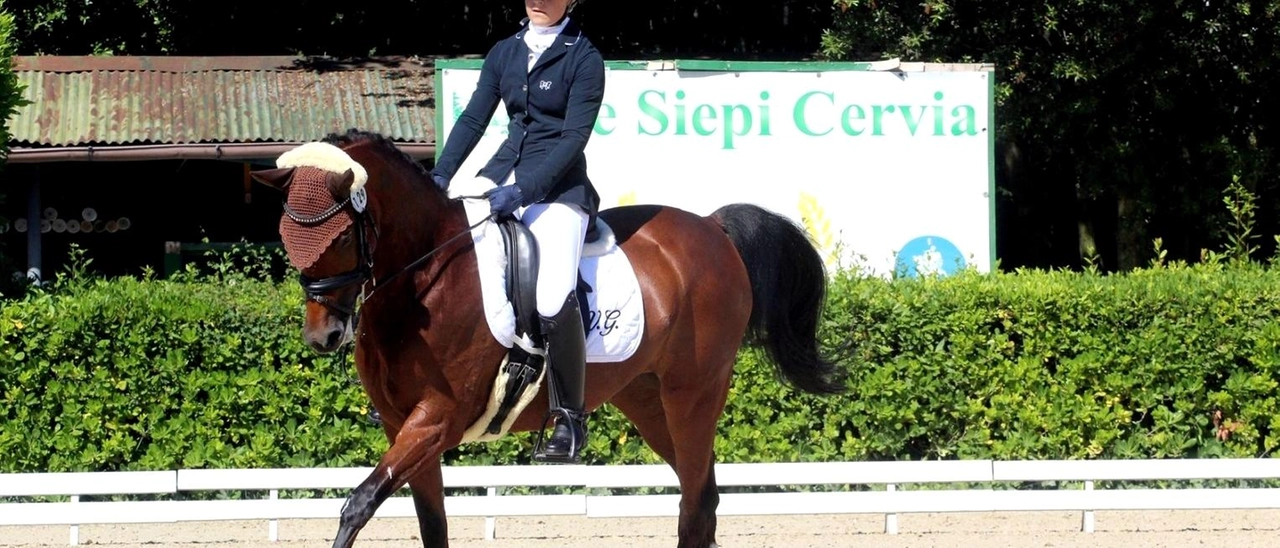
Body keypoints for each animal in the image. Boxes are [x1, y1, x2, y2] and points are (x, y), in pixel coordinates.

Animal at [249, 129, 849, 548]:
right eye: (284, 234)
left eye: (340, 237)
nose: (323, 335)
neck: (424, 281)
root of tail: (711, 227)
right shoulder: (404, 426)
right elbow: (430, 524)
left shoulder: (437, 419)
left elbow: (359, 504)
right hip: (648, 401)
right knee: (699, 498)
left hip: (693, 395)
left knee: (697, 504)